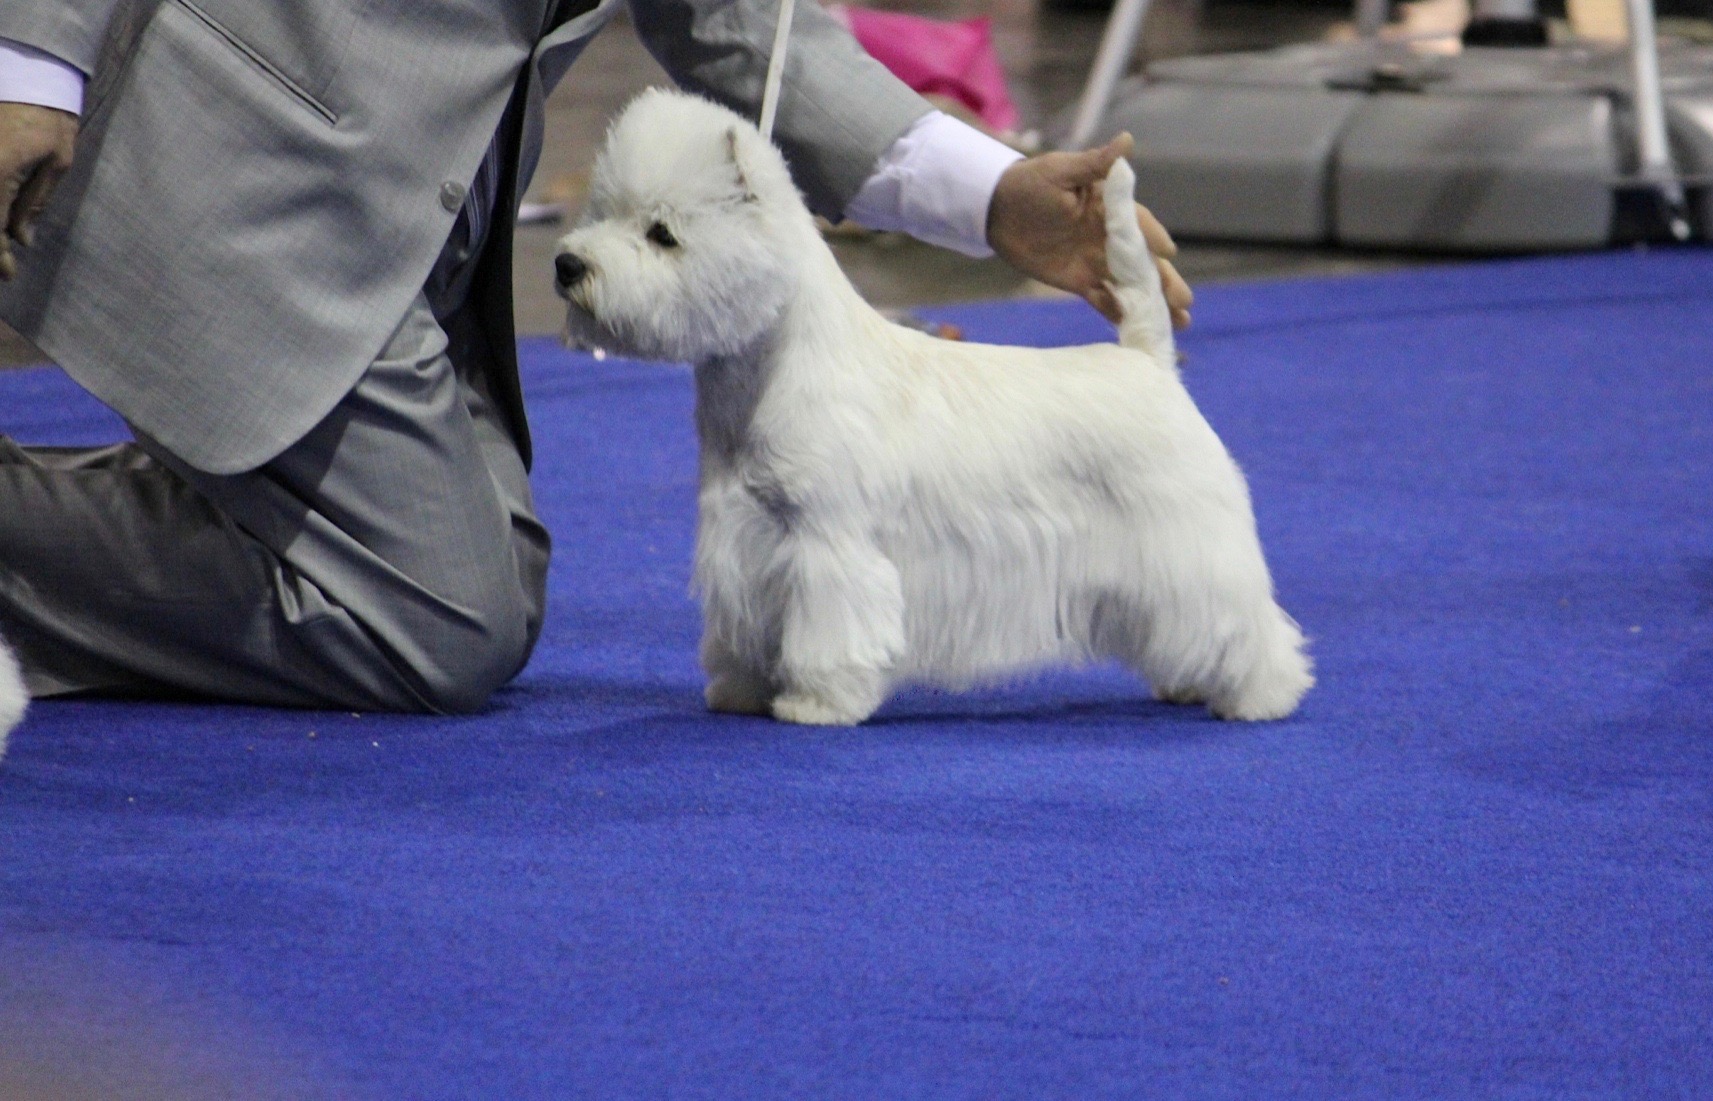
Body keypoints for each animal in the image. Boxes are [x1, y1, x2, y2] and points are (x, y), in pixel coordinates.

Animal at [551, 90, 1308, 729]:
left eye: (662, 232)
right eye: (602, 211)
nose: (566, 265)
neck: (766, 368)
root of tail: (1148, 359)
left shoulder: (829, 539)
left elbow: (831, 625)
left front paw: (816, 702)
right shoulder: (742, 535)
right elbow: (745, 625)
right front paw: (740, 689)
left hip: (1187, 538)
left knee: (1243, 621)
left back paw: (1261, 695)